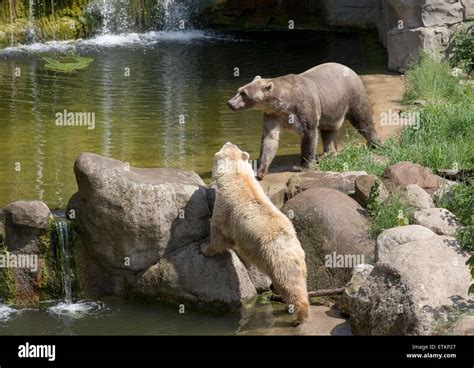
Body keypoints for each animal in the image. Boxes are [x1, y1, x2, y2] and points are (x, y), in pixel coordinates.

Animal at [201, 142, 310, 326]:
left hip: (278, 258)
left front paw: (204, 247)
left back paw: (299, 316)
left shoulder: (224, 206)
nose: (228, 141)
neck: (237, 177)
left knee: (289, 284)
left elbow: (218, 232)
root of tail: (296, 248)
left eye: (225, 146)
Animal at [228, 63, 380, 180]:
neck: (283, 103)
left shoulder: (305, 107)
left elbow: (309, 134)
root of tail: (350, 69)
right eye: (239, 90)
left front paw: (301, 166)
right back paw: (328, 153)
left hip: (351, 94)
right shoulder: (273, 115)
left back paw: (375, 143)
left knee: (362, 118)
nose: (230, 103)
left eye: (244, 94)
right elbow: (269, 139)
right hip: (330, 108)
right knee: (328, 130)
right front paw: (260, 171)